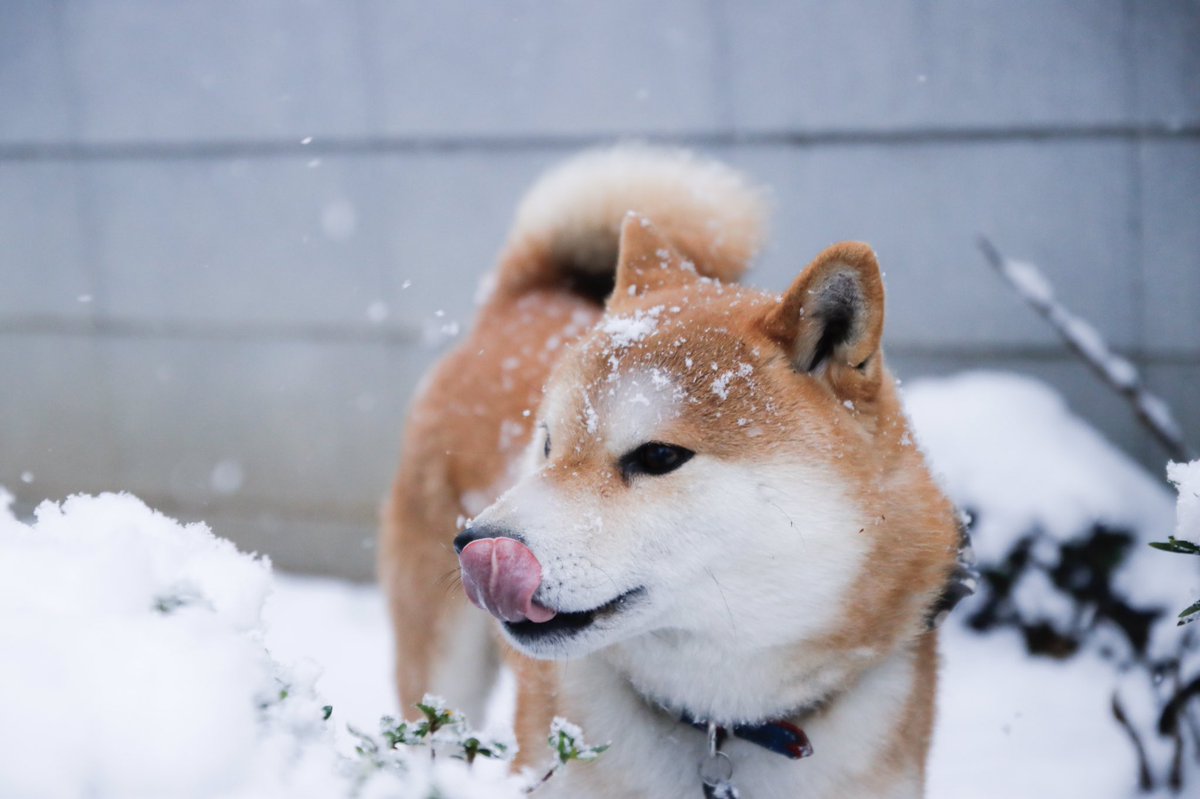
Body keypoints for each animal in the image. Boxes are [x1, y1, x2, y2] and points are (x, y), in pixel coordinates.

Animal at [384, 147, 964, 796]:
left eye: (659, 457)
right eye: (548, 446)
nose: (475, 544)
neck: (724, 723)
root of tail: (528, 295)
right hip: (440, 682)